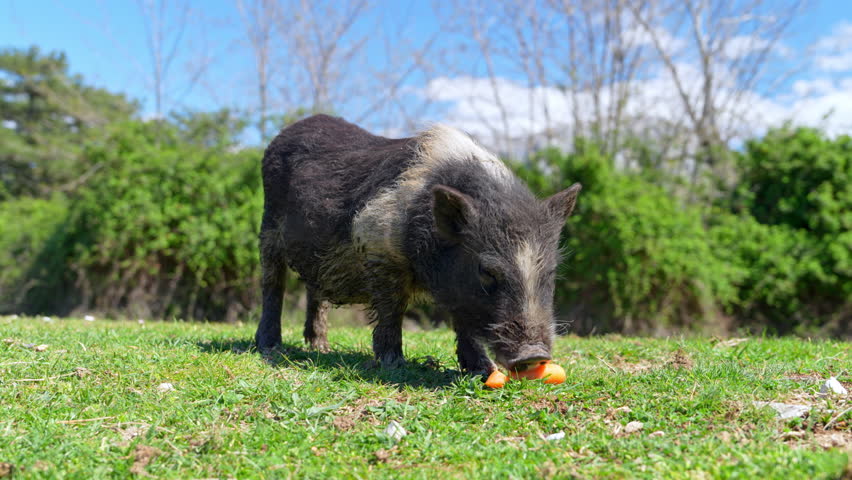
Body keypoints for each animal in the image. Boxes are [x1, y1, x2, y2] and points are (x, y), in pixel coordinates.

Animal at [255, 114, 581, 375]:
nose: (533, 354)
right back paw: (270, 347)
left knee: (316, 291)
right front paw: (393, 363)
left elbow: (463, 319)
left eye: (551, 273)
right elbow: (392, 309)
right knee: (273, 284)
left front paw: (481, 371)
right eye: (487, 272)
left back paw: (320, 348)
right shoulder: (377, 242)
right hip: (268, 225)